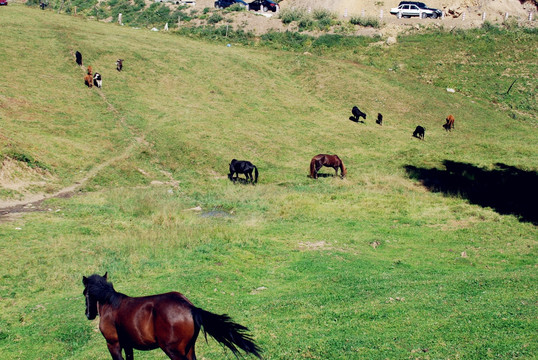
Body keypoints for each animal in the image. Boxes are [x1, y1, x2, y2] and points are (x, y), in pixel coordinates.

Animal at [81, 272, 262, 360]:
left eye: (85, 293)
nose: (88, 314)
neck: (111, 305)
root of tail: (190, 308)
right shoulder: (128, 345)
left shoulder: (113, 344)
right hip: (189, 349)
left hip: (173, 350)